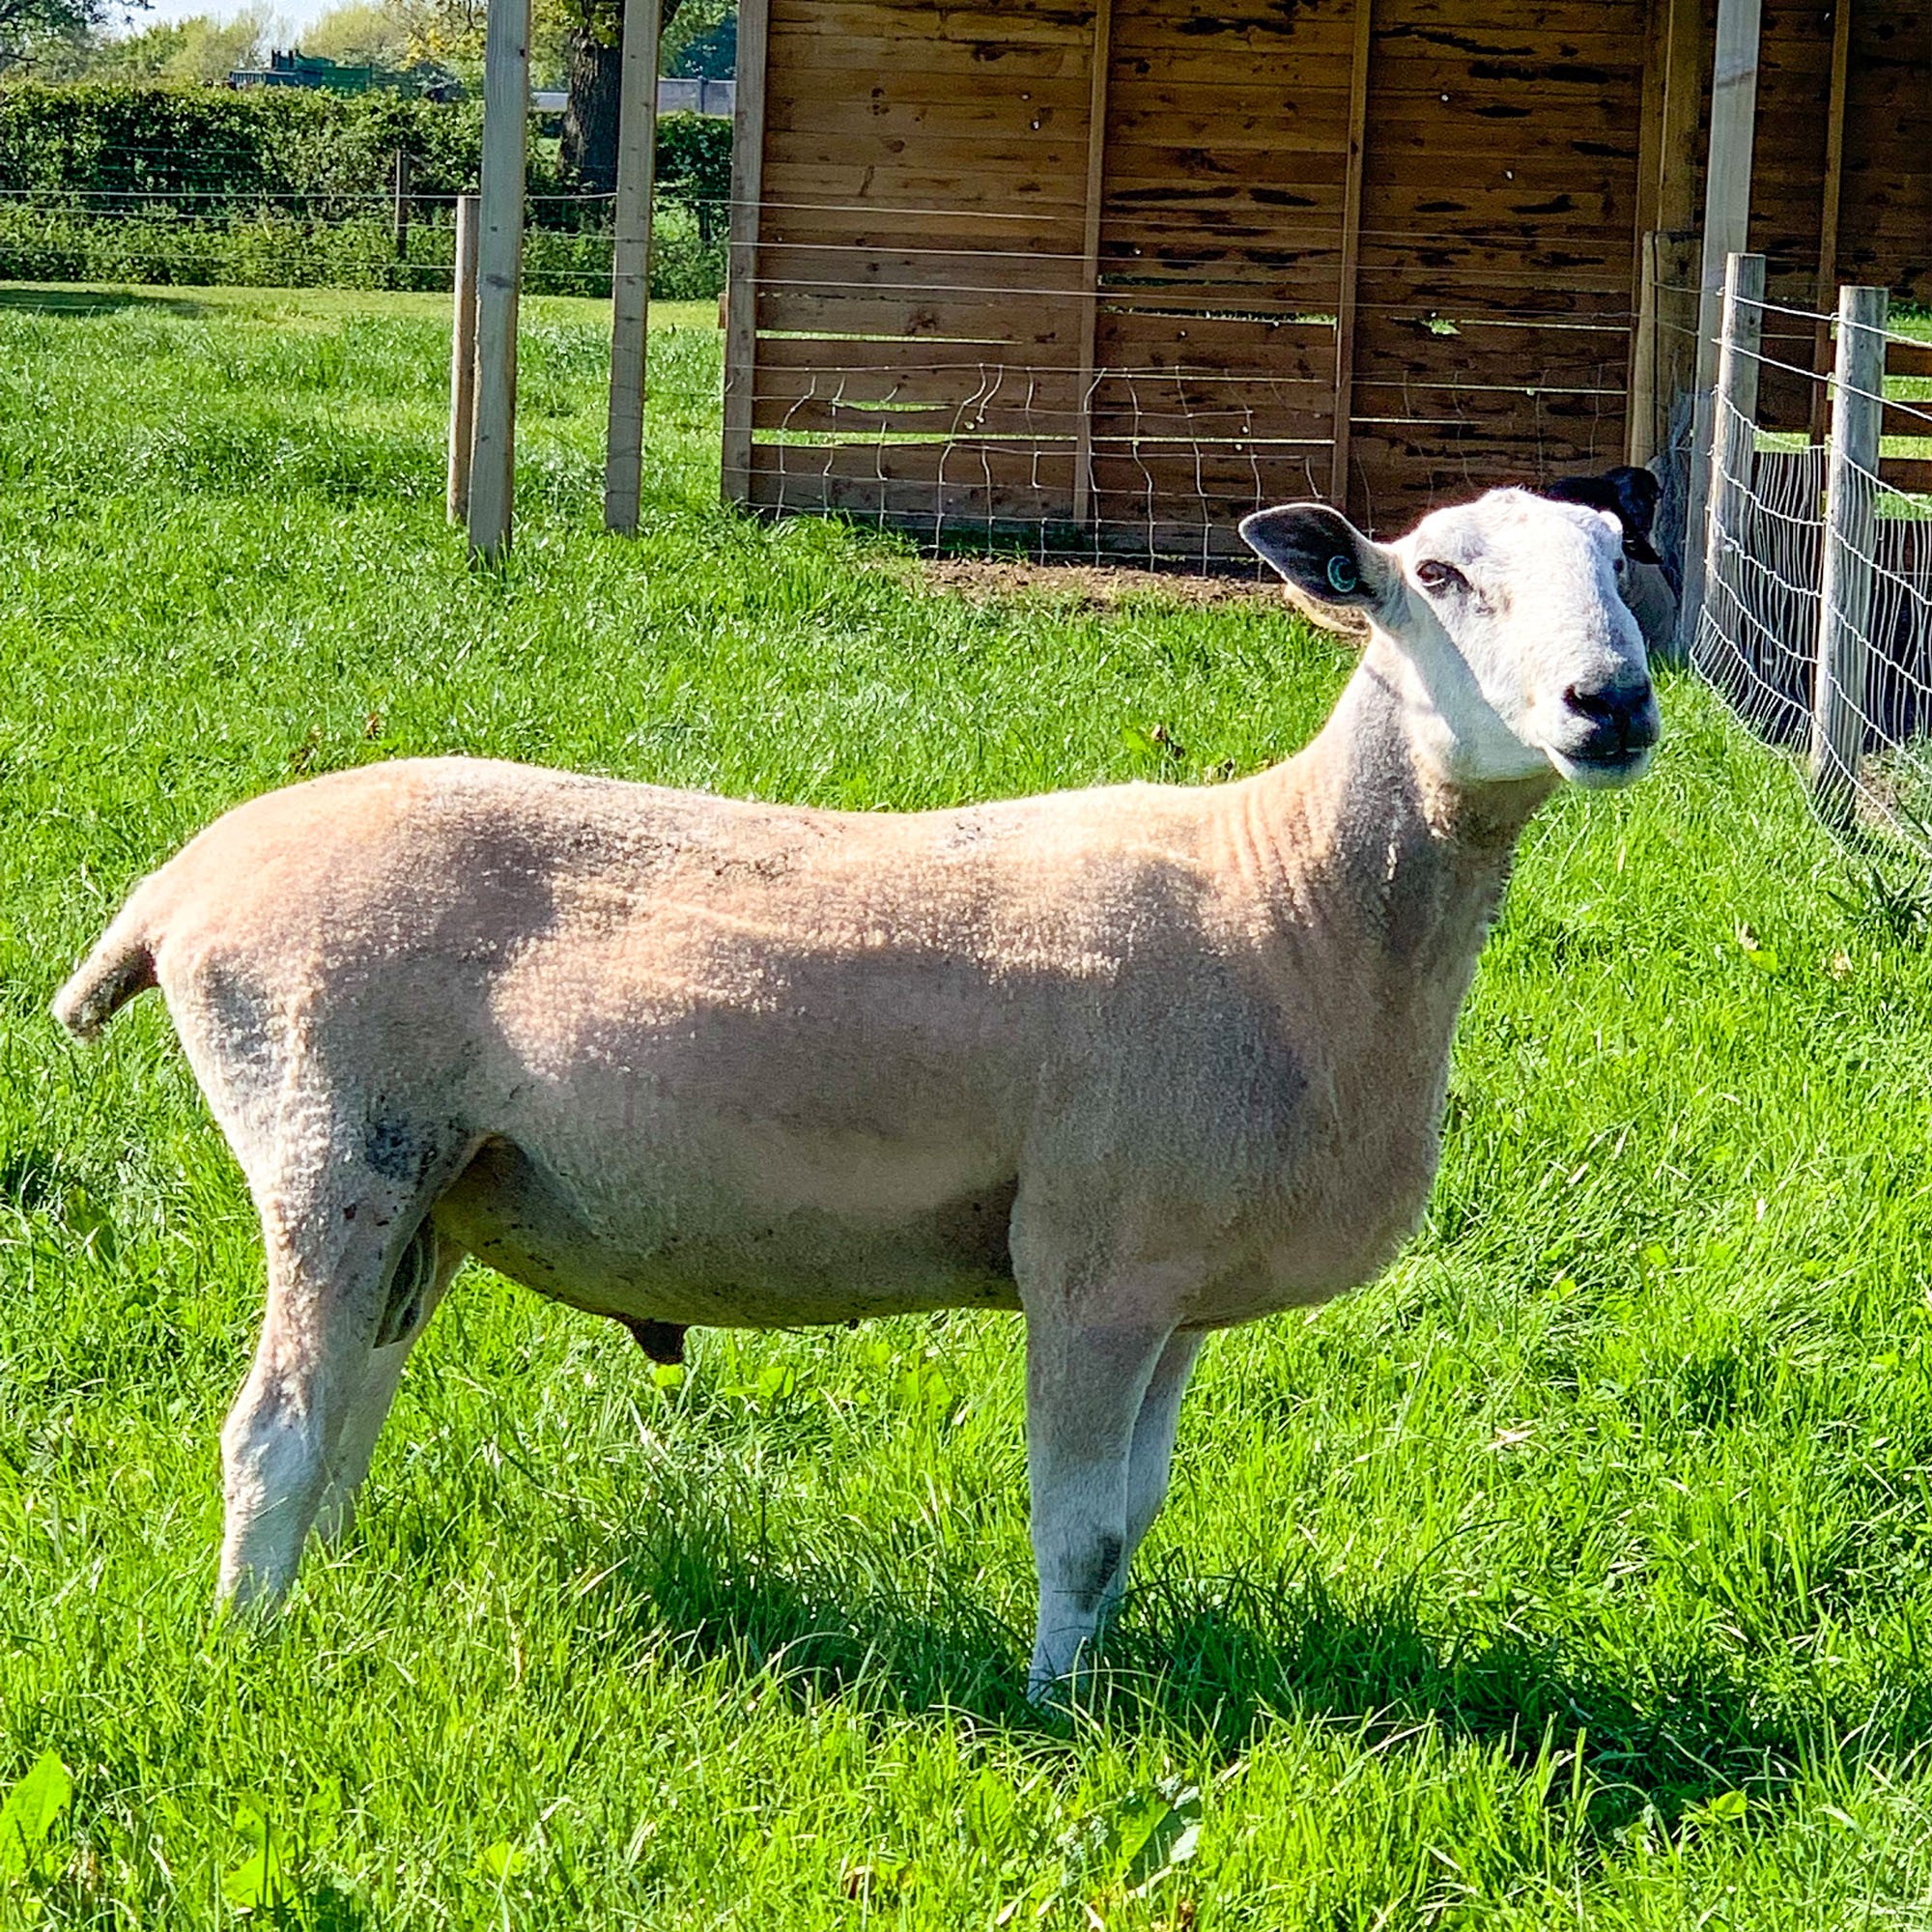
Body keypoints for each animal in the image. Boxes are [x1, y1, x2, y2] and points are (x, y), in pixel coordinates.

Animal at [52, 483, 1654, 1692]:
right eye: (1436, 575)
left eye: (1620, 556)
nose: (1616, 702)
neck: (1292, 901)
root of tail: (181, 882)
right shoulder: (1090, 1265)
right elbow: (1078, 1531)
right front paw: (1059, 1717)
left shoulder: (1178, 1289)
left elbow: (1134, 1525)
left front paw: (1104, 1686)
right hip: (330, 1134)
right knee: (273, 1429)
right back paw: (250, 1650)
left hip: (432, 1190)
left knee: (348, 1412)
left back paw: (318, 1600)